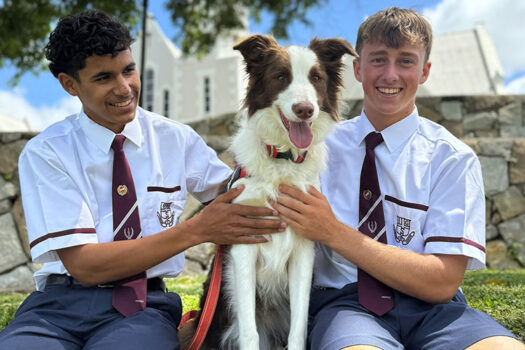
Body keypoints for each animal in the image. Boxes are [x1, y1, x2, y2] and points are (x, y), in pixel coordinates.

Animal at [180, 34, 356, 350]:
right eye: (281, 76)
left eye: (316, 77)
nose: (304, 110)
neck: (282, 159)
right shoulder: (243, 248)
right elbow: (249, 331)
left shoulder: (303, 252)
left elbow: (298, 329)